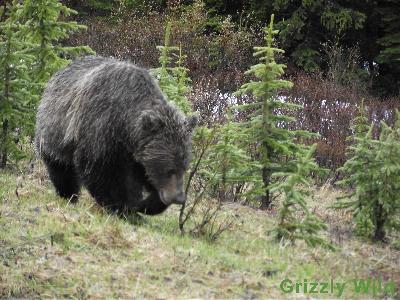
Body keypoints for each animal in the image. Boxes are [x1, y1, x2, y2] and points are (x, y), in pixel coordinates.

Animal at [34, 56, 197, 214]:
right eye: (170, 169)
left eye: (184, 167)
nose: (179, 198)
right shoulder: (100, 130)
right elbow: (102, 173)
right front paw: (121, 206)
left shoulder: (137, 154)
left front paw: (146, 205)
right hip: (55, 132)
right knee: (61, 169)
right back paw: (68, 195)